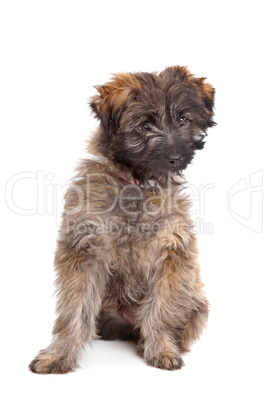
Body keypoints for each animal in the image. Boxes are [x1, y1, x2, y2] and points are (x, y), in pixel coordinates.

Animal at [29, 65, 216, 374]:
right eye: (145, 125)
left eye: (182, 119)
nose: (176, 157)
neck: (138, 184)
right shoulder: (84, 248)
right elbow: (74, 311)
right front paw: (59, 355)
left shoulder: (173, 255)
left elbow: (161, 309)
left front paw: (161, 348)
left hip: (197, 302)